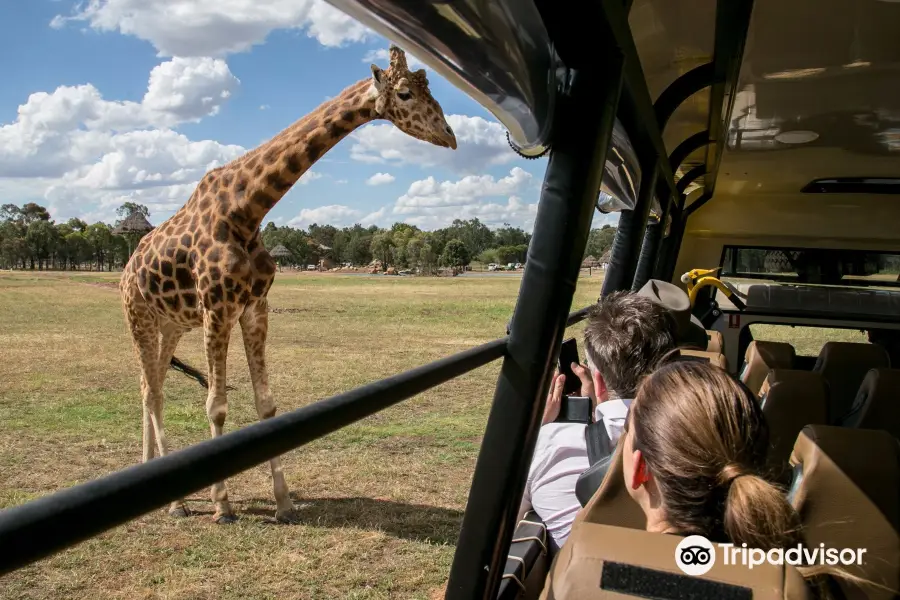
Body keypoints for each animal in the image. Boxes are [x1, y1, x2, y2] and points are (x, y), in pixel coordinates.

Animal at [119, 45, 458, 524]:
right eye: (406, 92)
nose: (450, 136)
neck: (246, 211)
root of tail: (127, 269)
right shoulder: (216, 308)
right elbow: (216, 406)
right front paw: (223, 505)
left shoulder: (254, 307)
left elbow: (267, 406)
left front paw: (283, 502)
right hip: (140, 318)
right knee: (151, 391)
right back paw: (179, 502)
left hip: (172, 326)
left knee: (153, 388)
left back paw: (159, 479)